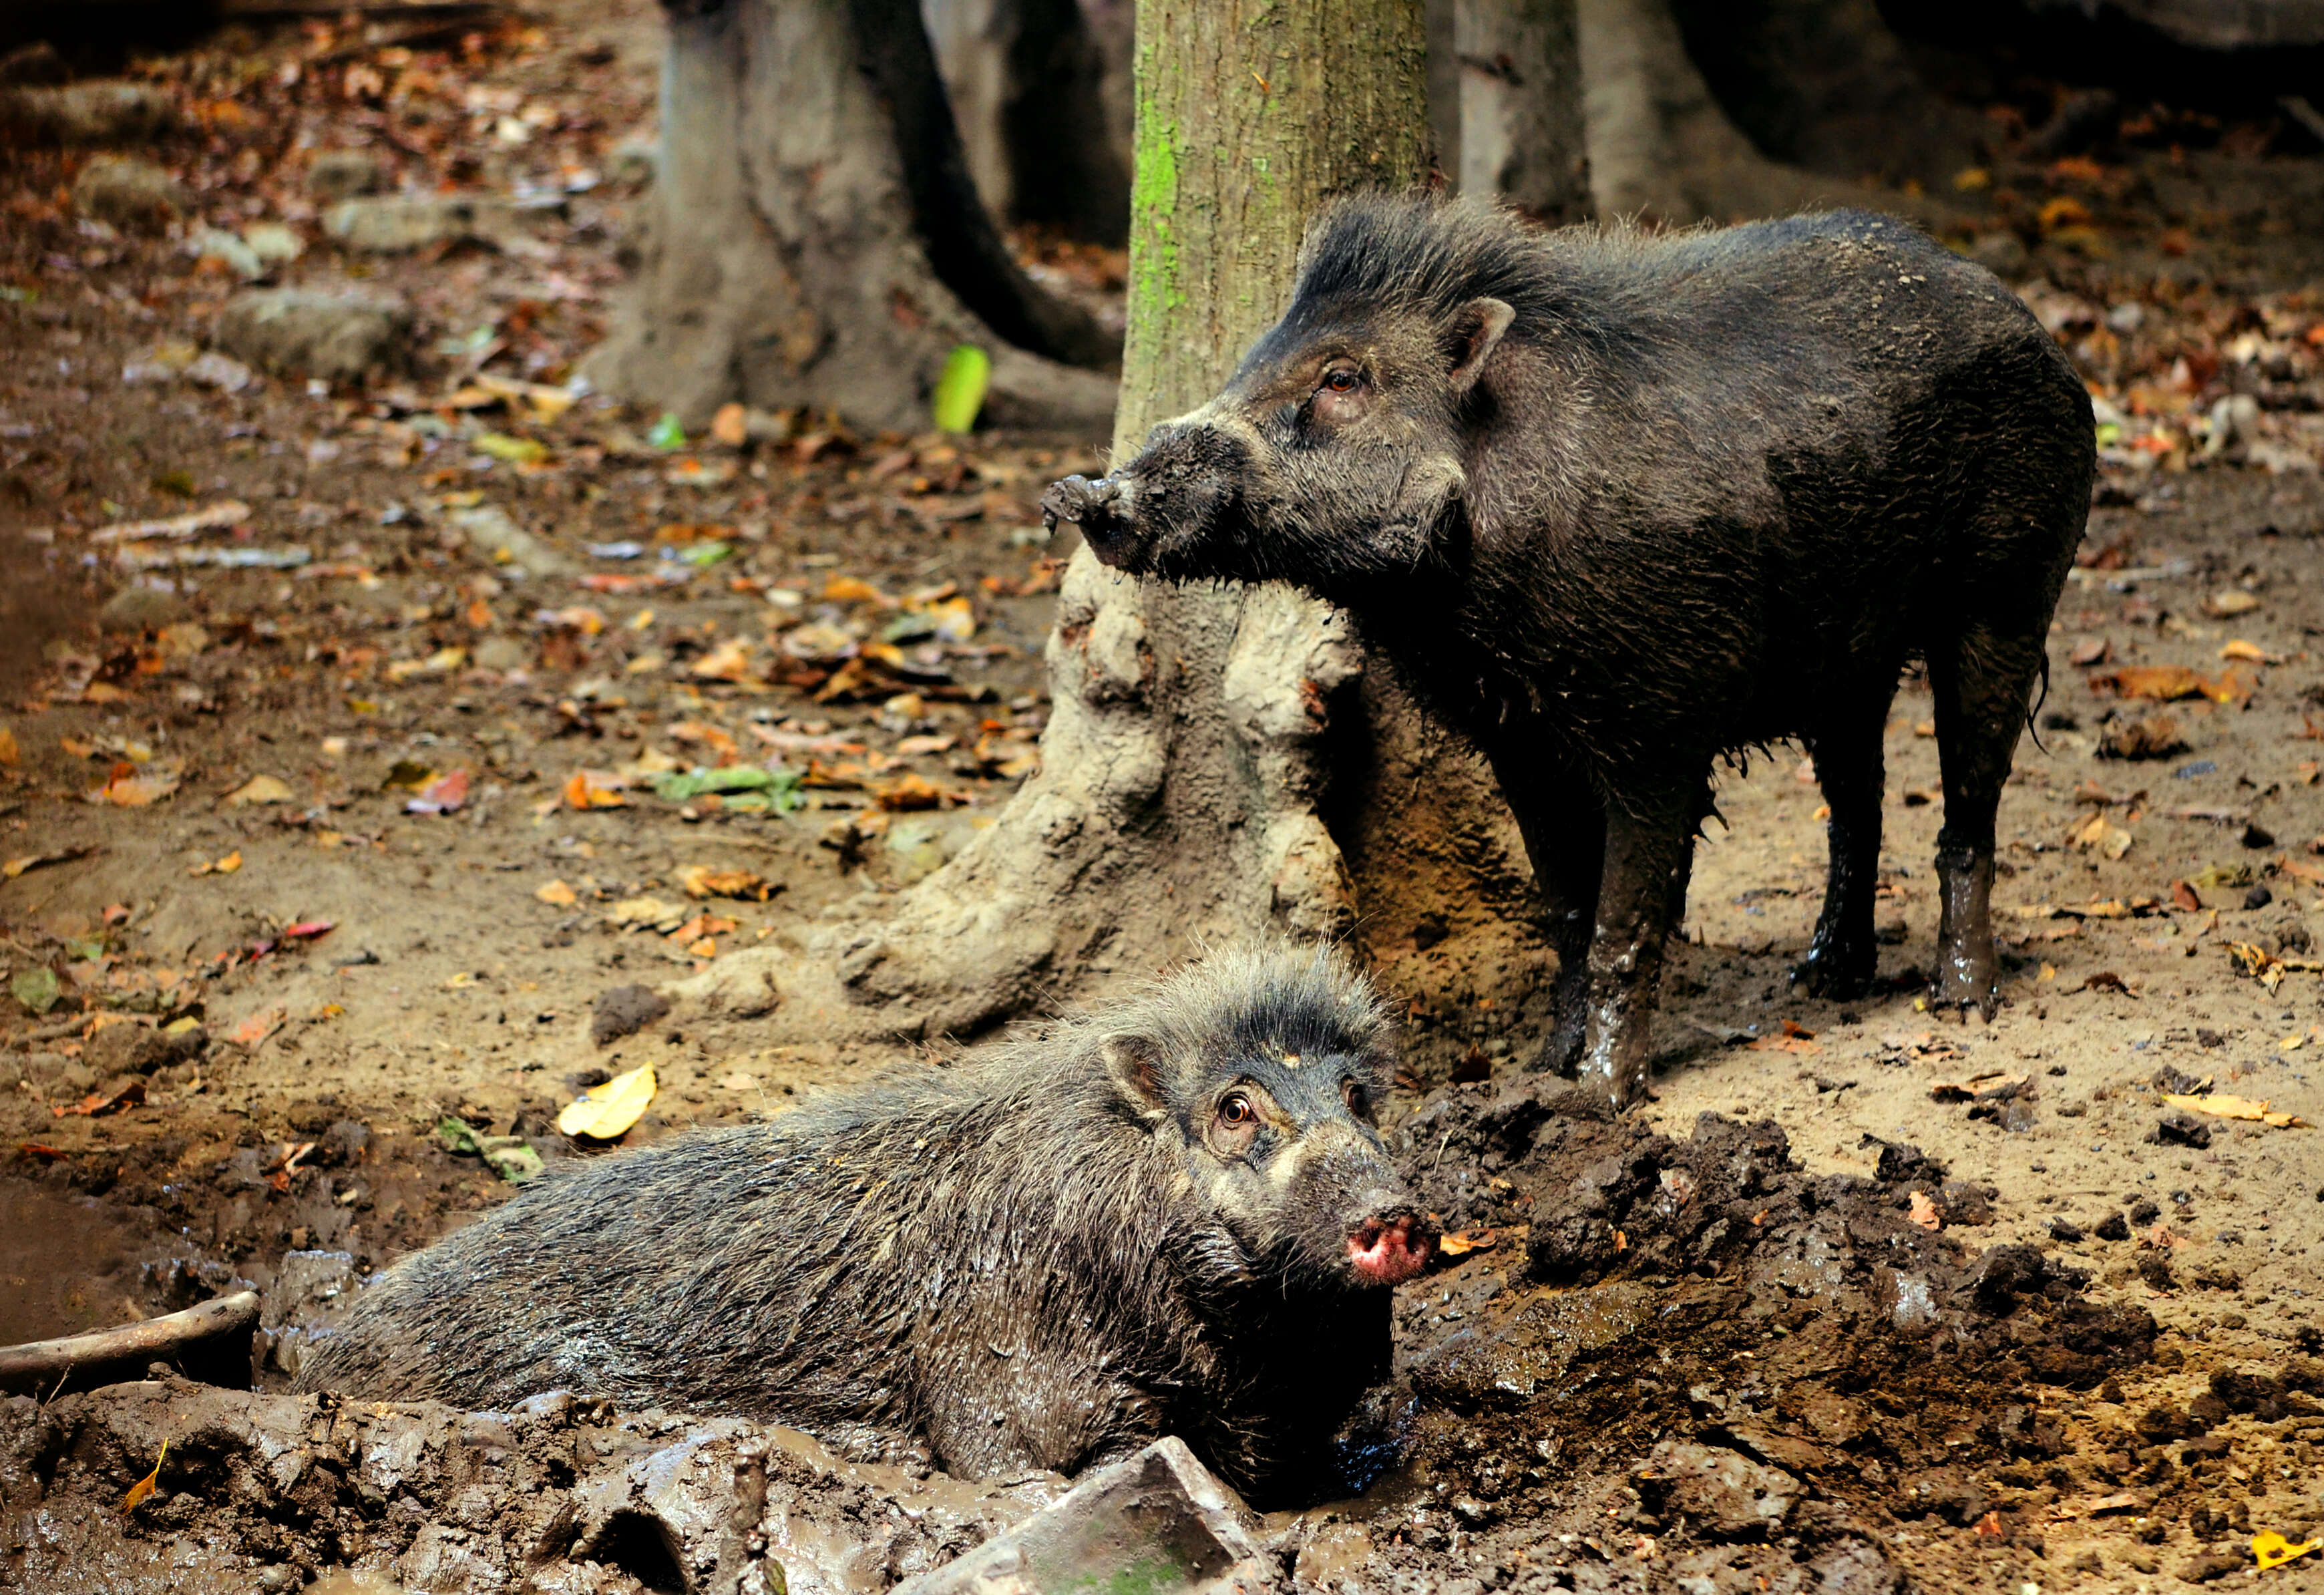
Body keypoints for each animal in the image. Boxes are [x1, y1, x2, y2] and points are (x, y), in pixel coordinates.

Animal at [1046, 196, 2100, 1111]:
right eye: (1254, 356)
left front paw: (1600, 1097)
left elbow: (1626, 918)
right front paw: (1541, 1070)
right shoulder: (1518, 738)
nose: (1090, 495)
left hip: (2013, 586)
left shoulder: (1660, 727)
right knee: (1857, 800)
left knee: (1970, 801)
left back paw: (1961, 1002)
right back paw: (1822, 980)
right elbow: (1564, 905)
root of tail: (2032, 323)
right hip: (1847, 655)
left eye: (1343, 379)